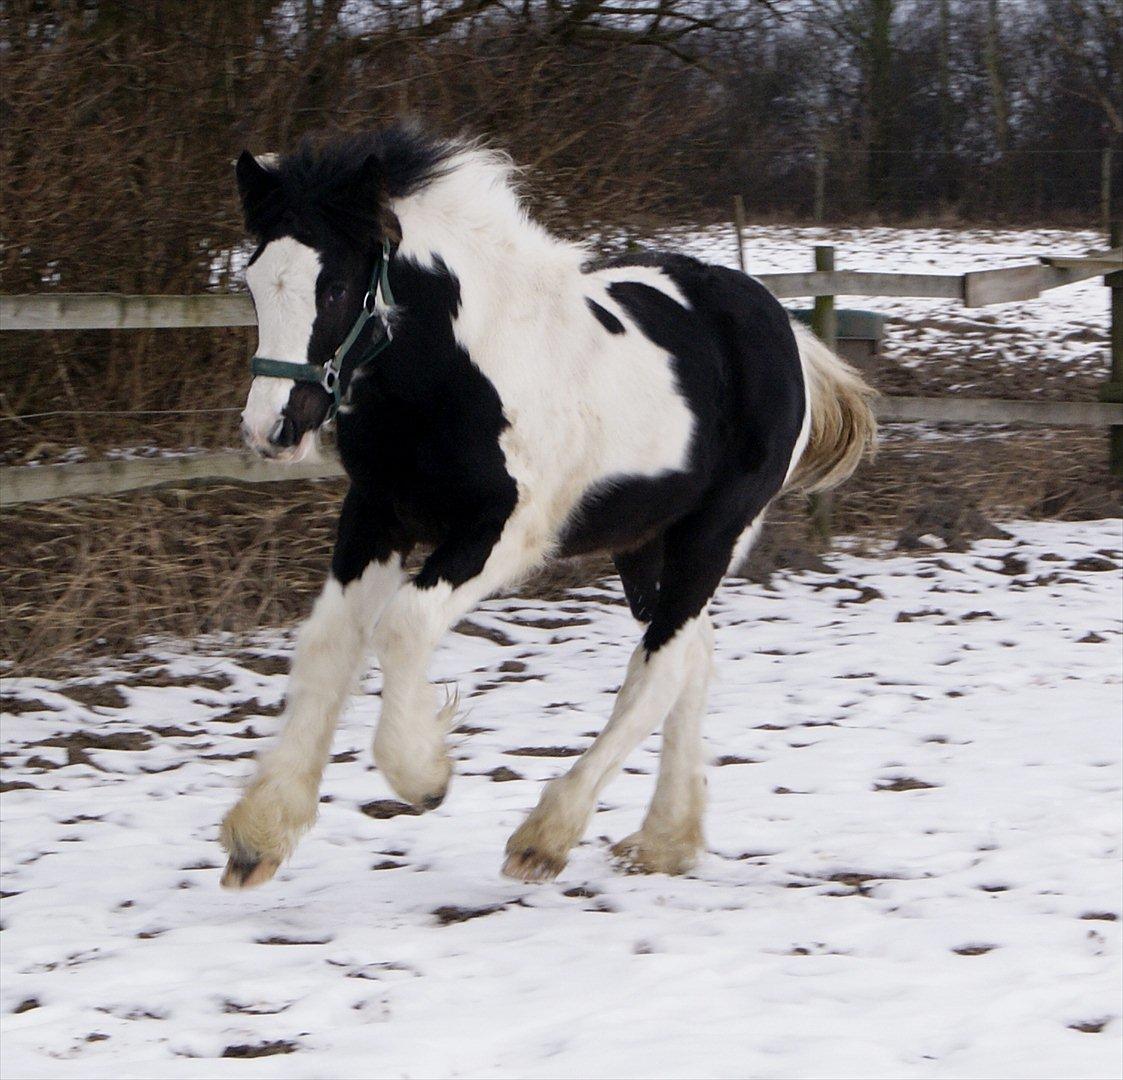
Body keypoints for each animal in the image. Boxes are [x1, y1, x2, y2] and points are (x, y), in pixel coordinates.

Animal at [221, 126, 875, 884]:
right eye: (254, 282)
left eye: (333, 286)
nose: (272, 429)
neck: (455, 369)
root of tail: (783, 327)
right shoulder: (377, 512)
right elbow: (328, 643)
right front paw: (260, 833)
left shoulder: (507, 530)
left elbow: (404, 626)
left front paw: (423, 774)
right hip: (646, 542)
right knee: (692, 652)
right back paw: (666, 840)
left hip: (713, 532)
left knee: (659, 667)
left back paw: (548, 834)